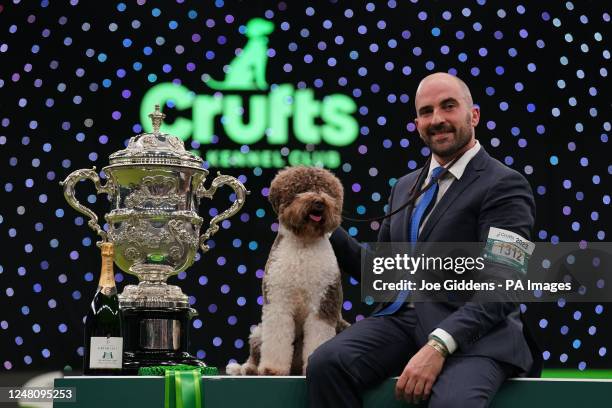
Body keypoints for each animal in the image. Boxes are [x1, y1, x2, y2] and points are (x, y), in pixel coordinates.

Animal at [226, 167, 352, 376]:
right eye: (302, 188)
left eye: (326, 190)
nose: (319, 202)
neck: (304, 243)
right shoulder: (278, 301)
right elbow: (277, 337)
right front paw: (272, 368)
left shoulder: (323, 303)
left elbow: (317, 336)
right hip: (259, 330)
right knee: (255, 351)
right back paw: (247, 368)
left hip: (341, 325)